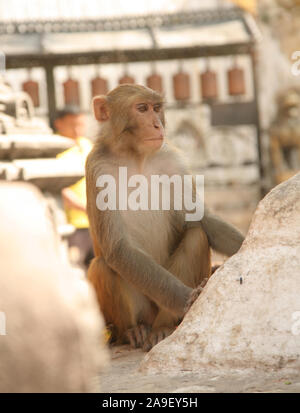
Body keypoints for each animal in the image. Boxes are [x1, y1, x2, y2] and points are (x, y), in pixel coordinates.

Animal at [85, 83, 244, 350]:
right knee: (102, 265)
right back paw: (134, 331)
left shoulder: (172, 161)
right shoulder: (96, 168)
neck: (135, 157)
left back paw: (164, 326)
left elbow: (198, 219)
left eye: (156, 108)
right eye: (142, 108)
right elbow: (118, 248)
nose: (157, 124)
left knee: (196, 237)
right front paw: (187, 298)